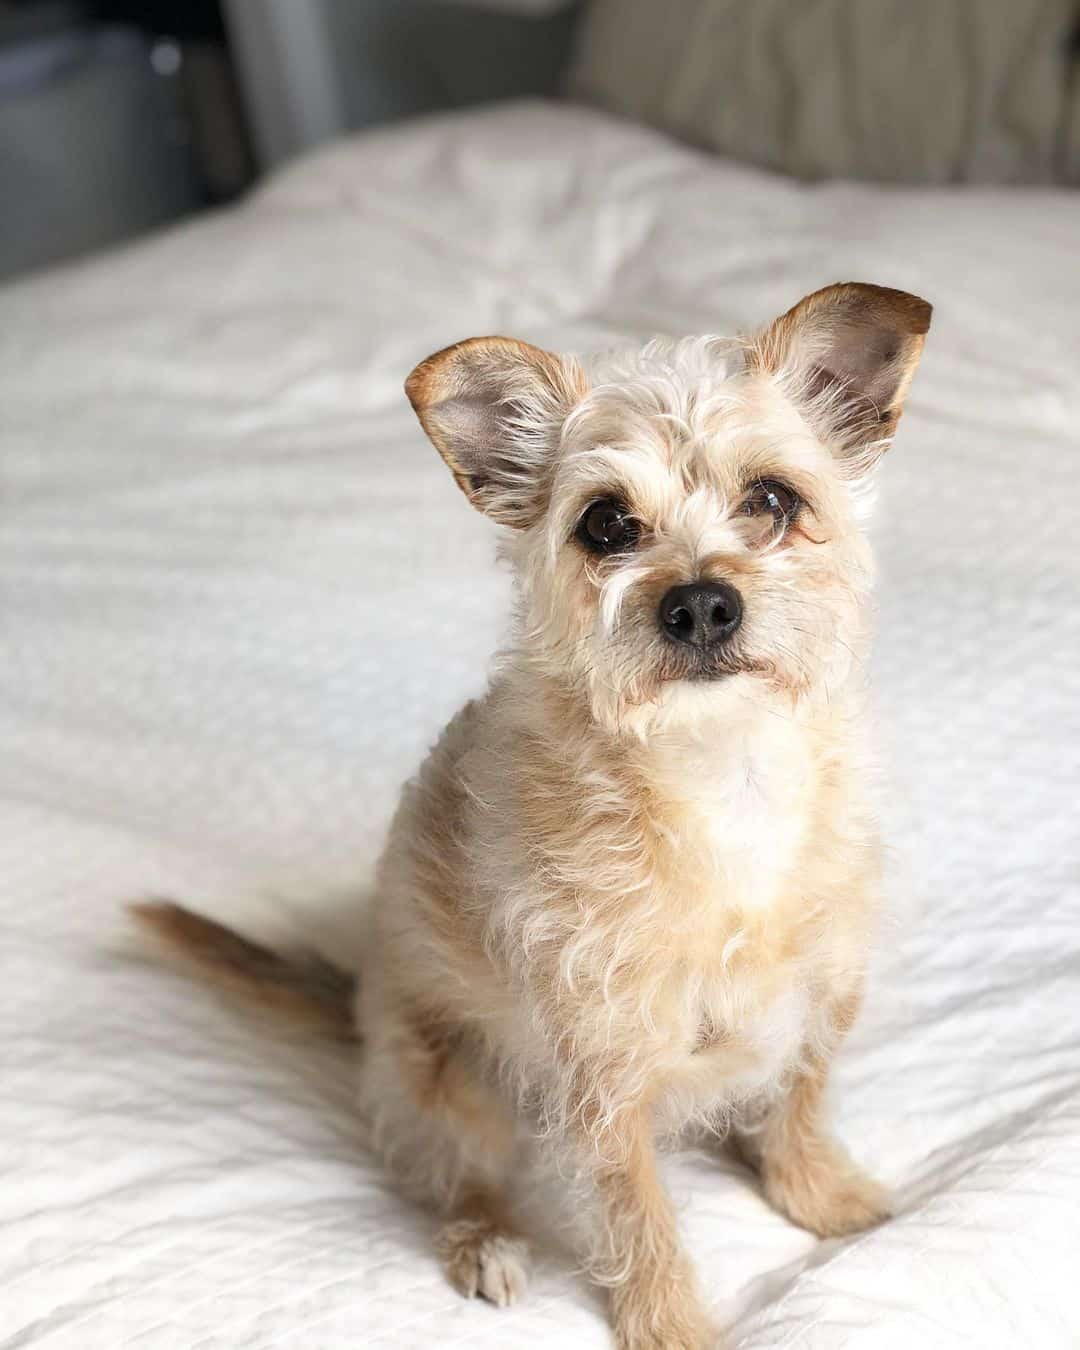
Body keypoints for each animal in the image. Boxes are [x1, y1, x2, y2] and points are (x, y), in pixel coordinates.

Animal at [139, 284, 934, 1350]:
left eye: (772, 502)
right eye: (606, 524)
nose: (700, 606)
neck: (719, 781)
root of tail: (360, 997)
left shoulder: (821, 997)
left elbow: (799, 1106)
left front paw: (823, 1197)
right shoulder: (602, 1083)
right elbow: (640, 1218)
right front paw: (672, 1324)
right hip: (452, 1086)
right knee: (456, 1180)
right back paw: (486, 1242)